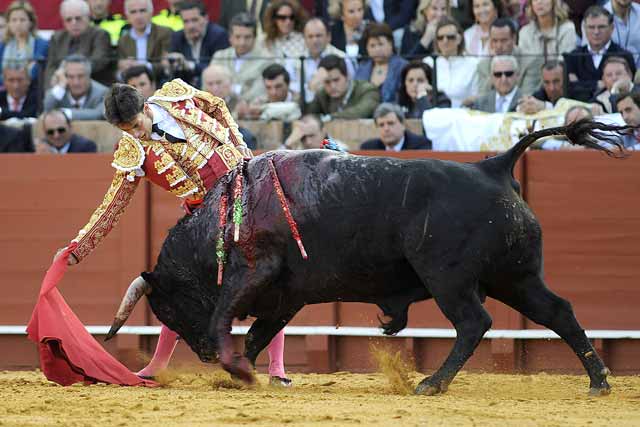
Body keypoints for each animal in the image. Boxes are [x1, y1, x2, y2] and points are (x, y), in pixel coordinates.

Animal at [106, 119, 632, 394]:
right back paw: (598, 381)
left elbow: (224, 317)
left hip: (449, 278)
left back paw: (432, 383)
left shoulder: (254, 273)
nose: (201, 354)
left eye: (168, 306)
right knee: (558, 311)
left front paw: (234, 368)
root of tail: (495, 166)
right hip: (516, 277)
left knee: (474, 322)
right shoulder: (288, 295)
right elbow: (259, 333)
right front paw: (240, 373)